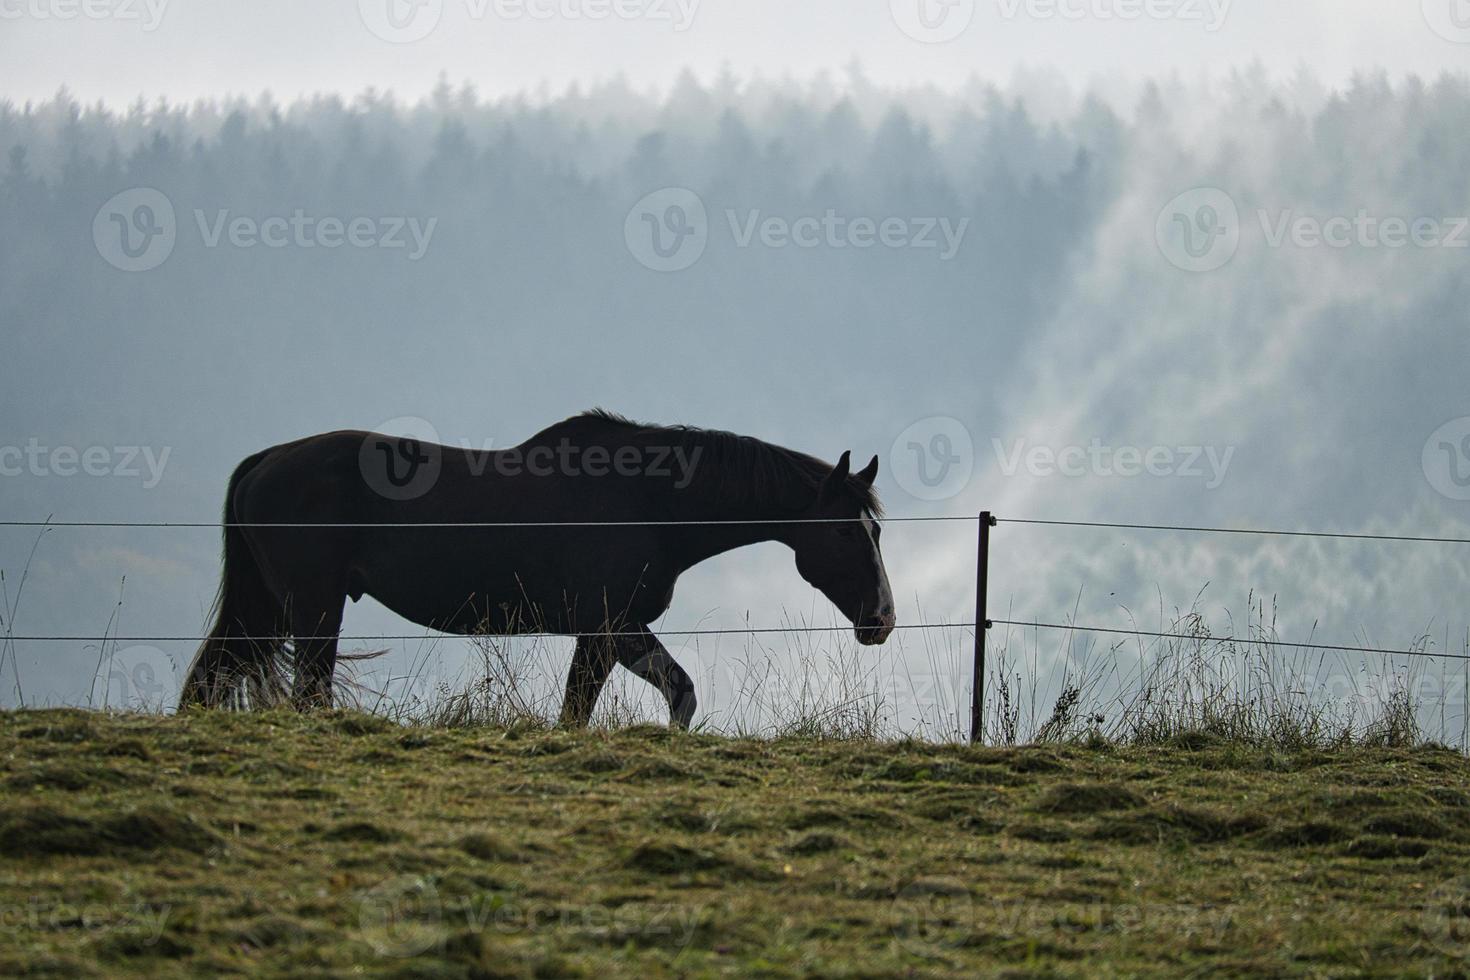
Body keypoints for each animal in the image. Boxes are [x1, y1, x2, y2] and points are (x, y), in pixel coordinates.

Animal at [183, 408, 893, 728]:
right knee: (307, 691)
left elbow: (615, 703)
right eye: (843, 529)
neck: (648, 502)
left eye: (877, 528)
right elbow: (670, 694)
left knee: (209, 680)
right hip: (312, 607)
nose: (881, 619)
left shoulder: (605, 634)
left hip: (266, 609)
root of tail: (264, 461)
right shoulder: (613, 626)